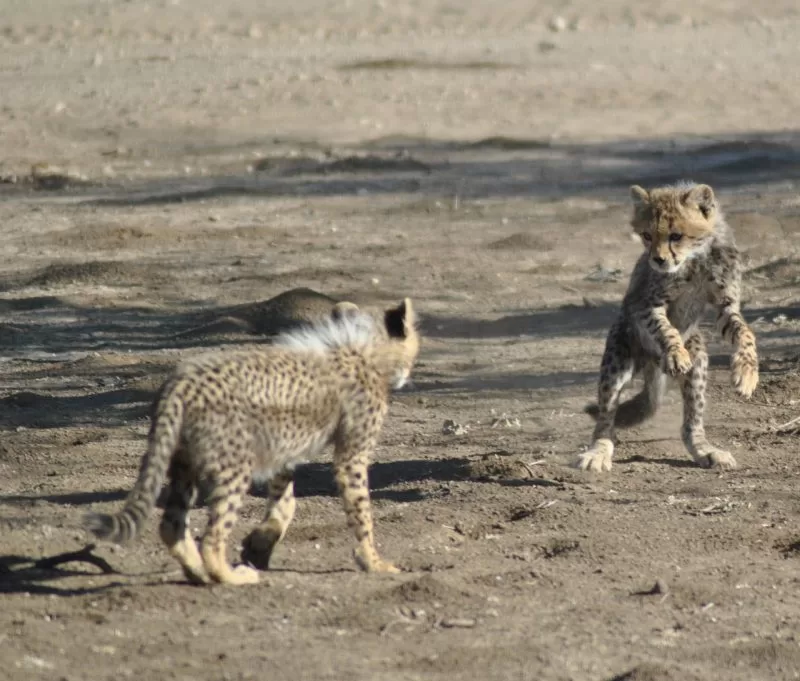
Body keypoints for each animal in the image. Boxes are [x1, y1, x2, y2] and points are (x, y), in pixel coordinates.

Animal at [85, 298, 419, 585]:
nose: (408, 375)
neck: (363, 349)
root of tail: (180, 381)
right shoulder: (351, 456)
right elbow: (361, 510)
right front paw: (373, 562)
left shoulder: (284, 450)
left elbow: (285, 504)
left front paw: (260, 543)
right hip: (234, 465)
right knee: (212, 536)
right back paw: (230, 576)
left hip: (185, 463)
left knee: (171, 525)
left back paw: (199, 573)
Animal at [576, 182, 758, 473]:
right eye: (647, 235)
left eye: (676, 235)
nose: (658, 260)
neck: (696, 259)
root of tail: (652, 365)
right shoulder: (646, 305)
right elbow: (664, 328)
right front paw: (674, 354)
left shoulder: (726, 306)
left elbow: (745, 333)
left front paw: (747, 374)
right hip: (618, 359)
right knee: (605, 419)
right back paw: (598, 452)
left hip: (698, 361)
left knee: (691, 423)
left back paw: (706, 450)